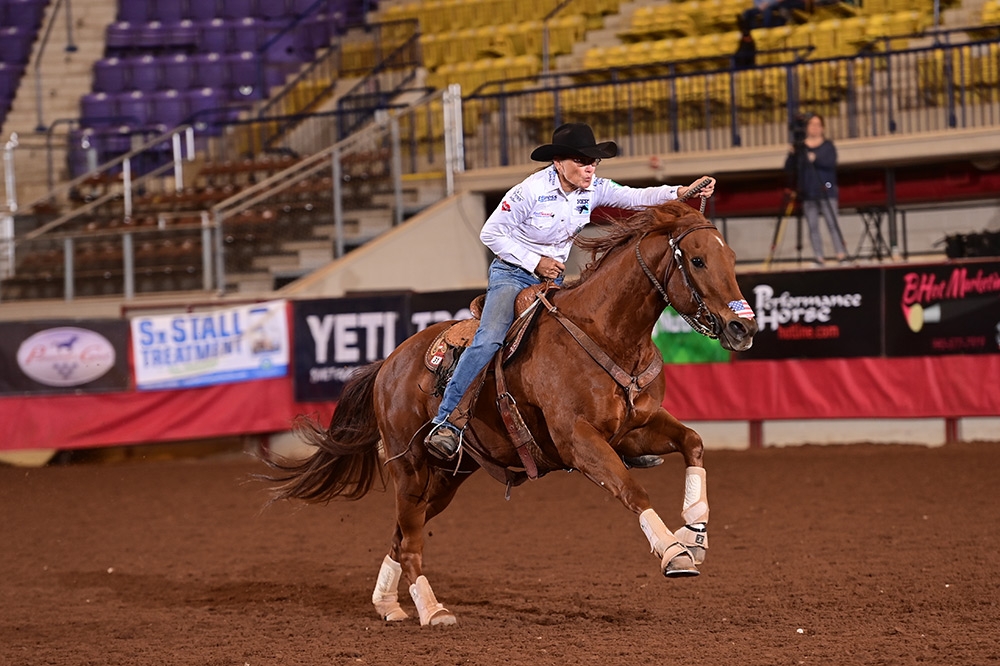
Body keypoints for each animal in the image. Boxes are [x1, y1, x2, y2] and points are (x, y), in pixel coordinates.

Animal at [270, 200, 752, 624]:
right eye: (697, 260)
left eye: (730, 257)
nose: (742, 327)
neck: (606, 333)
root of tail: (389, 363)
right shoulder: (578, 441)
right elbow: (632, 489)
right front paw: (674, 553)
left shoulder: (635, 430)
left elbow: (693, 442)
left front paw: (695, 535)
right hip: (409, 467)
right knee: (409, 541)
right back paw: (432, 611)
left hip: (448, 477)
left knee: (401, 533)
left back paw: (388, 604)